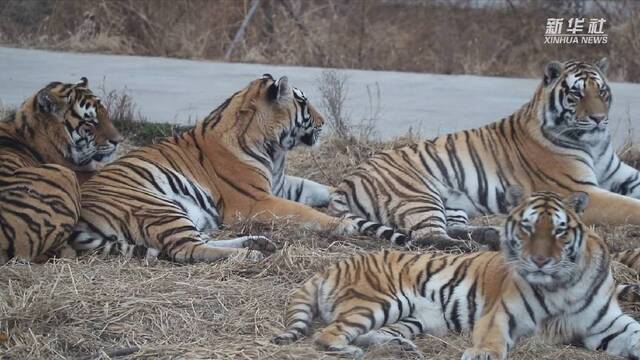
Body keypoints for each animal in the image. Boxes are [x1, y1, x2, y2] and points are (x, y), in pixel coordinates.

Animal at [70, 74, 360, 262]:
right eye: (303, 103)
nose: (323, 122)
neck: (274, 151)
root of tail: (80, 218)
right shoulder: (255, 200)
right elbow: (303, 211)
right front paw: (344, 224)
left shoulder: (278, 183)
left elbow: (316, 188)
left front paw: (344, 195)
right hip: (158, 207)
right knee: (187, 249)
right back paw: (249, 254)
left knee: (200, 240)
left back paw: (256, 242)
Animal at [274, 190, 640, 358]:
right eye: (527, 227)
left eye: (560, 231)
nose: (538, 261)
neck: (561, 286)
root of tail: (331, 266)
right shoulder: (500, 315)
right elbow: (492, 342)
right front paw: (481, 354)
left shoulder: (607, 326)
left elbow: (633, 334)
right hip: (376, 302)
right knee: (329, 335)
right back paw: (354, 351)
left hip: (412, 317)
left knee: (368, 334)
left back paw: (403, 348)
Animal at [330, 58, 640, 250]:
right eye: (576, 95)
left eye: (602, 92)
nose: (600, 119)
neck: (593, 143)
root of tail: (345, 181)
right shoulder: (578, 189)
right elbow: (629, 206)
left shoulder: (619, 173)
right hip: (418, 196)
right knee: (428, 238)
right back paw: (474, 246)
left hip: (452, 204)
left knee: (451, 227)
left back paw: (491, 234)